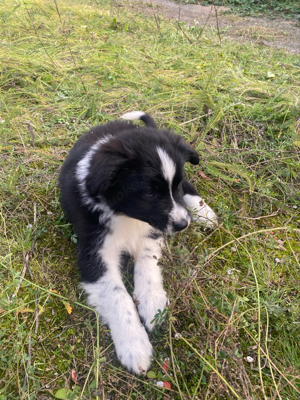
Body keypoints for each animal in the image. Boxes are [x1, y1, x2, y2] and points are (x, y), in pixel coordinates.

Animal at [59, 111, 218, 376]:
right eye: (150, 193)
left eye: (173, 186)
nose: (183, 224)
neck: (126, 216)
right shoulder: (94, 252)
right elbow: (117, 296)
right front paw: (134, 344)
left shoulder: (151, 232)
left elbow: (147, 263)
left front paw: (152, 302)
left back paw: (203, 211)